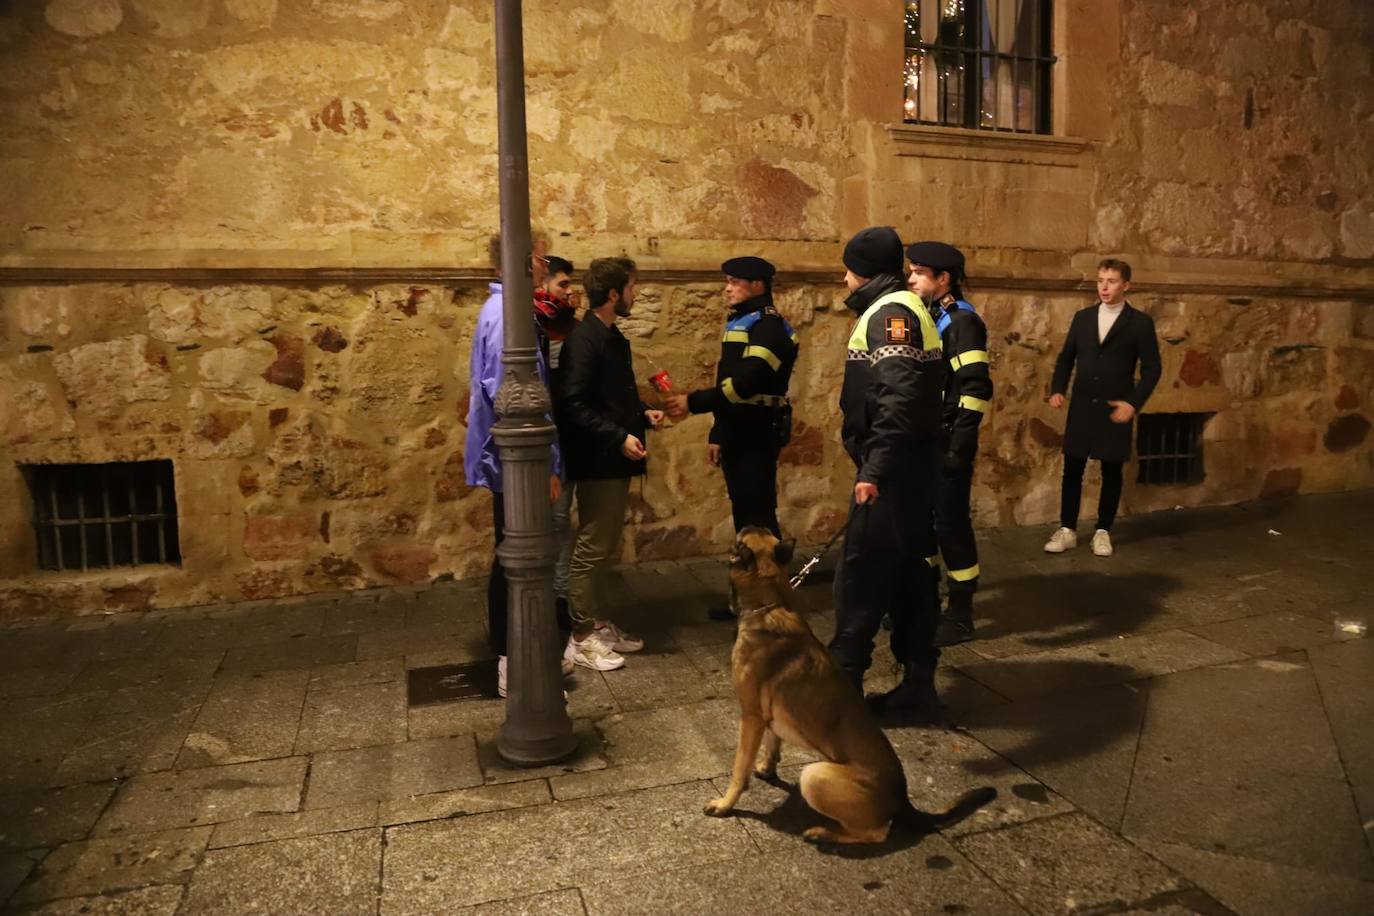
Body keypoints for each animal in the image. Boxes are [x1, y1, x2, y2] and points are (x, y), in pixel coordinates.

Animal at [708, 527, 989, 840]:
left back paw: (822, 833)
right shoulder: (767, 717)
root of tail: (903, 800)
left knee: (877, 833)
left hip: (814, 775)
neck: (768, 606)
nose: (746, 526)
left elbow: (739, 768)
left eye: (743, 539)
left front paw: (725, 804)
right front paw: (767, 768)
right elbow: (772, 743)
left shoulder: (751, 717)